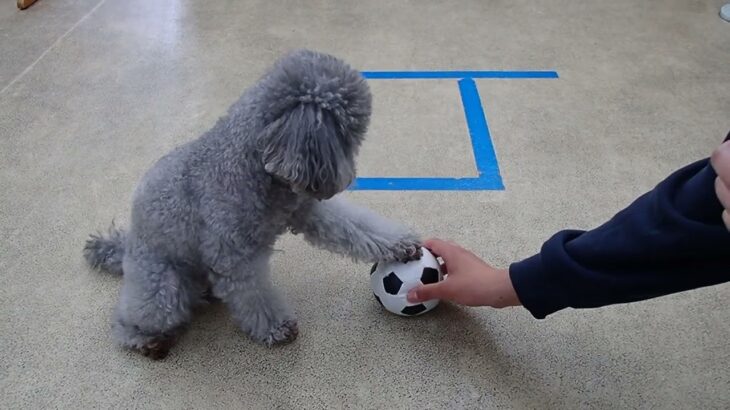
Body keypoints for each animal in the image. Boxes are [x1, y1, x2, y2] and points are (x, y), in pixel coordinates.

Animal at [83, 50, 420, 358]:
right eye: (351, 131)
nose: (347, 175)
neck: (251, 164)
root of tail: (126, 247)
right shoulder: (234, 257)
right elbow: (254, 296)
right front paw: (277, 328)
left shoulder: (306, 210)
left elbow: (357, 227)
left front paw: (401, 245)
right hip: (162, 290)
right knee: (127, 320)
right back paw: (147, 341)